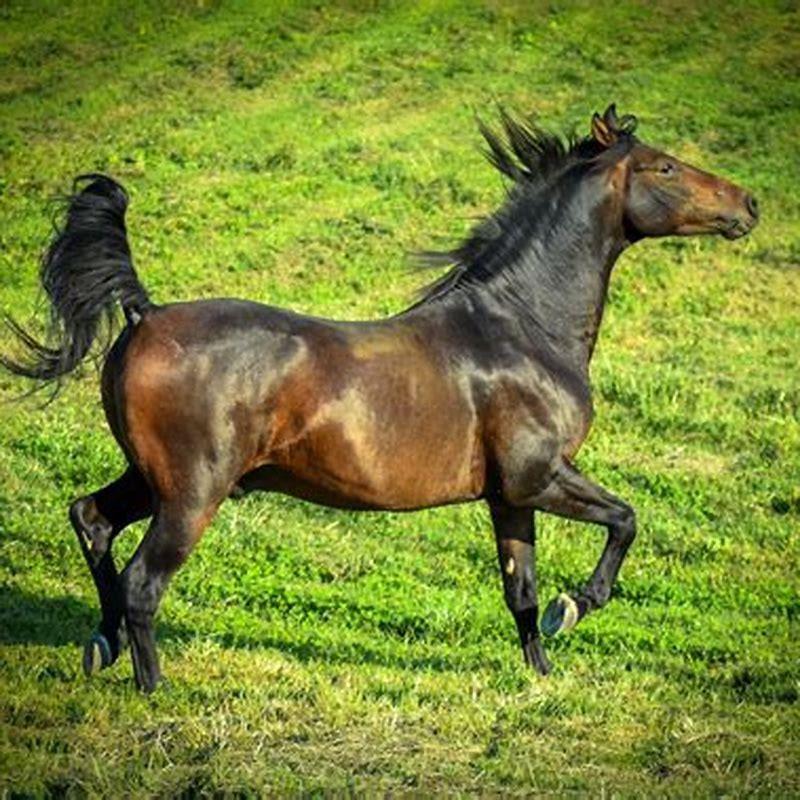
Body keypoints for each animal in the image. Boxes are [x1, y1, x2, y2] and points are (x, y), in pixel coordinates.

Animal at [1, 105, 759, 693]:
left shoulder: (509, 494)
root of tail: (144, 314)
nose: (748, 205)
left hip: (152, 478)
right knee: (141, 581)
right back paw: (153, 686)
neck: (521, 326)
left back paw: (101, 647)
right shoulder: (539, 475)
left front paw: (543, 673)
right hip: (192, 492)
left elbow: (520, 589)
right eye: (664, 167)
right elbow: (625, 520)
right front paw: (577, 605)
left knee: (92, 518)